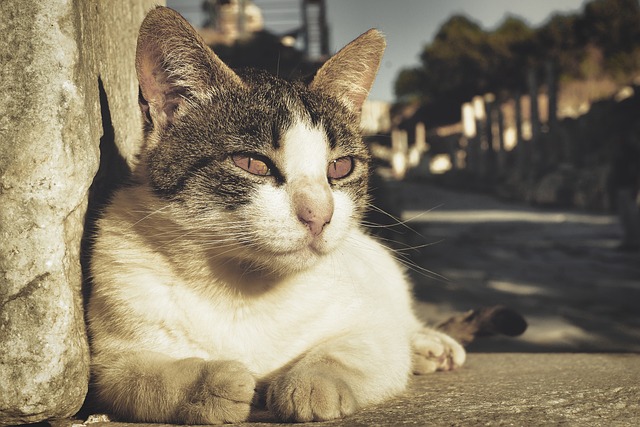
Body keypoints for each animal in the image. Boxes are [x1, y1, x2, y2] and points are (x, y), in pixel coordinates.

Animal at [86, 6, 464, 424]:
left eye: (340, 167)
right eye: (252, 163)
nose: (320, 214)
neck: (242, 289)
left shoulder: (374, 331)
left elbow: (355, 349)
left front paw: (312, 382)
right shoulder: (112, 358)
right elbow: (143, 378)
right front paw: (215, 383)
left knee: (402, 321)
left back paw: (430, 344)